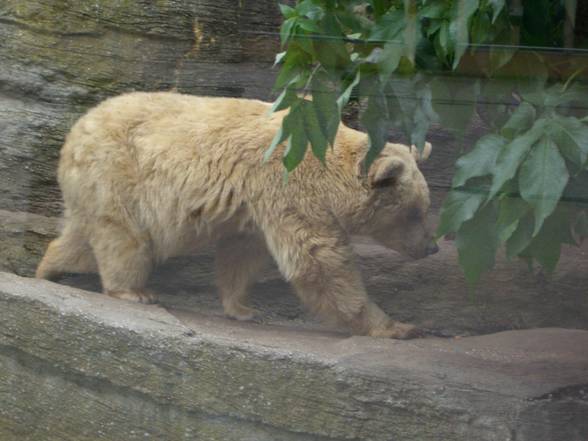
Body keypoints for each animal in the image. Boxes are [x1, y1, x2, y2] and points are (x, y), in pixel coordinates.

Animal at [35, 91, 436, 338]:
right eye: (416, 212)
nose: (431, 247)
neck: (330, 166)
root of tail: (75, 133)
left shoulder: (257, 202)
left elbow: (241, 253)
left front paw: (242, 308)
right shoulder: (288, 185)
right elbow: (318, 259)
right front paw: (398, 327)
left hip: (94, 186)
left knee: (82, 237)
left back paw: (50, 268)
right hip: (119, 174)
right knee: (125, 238)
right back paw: (133, 291)